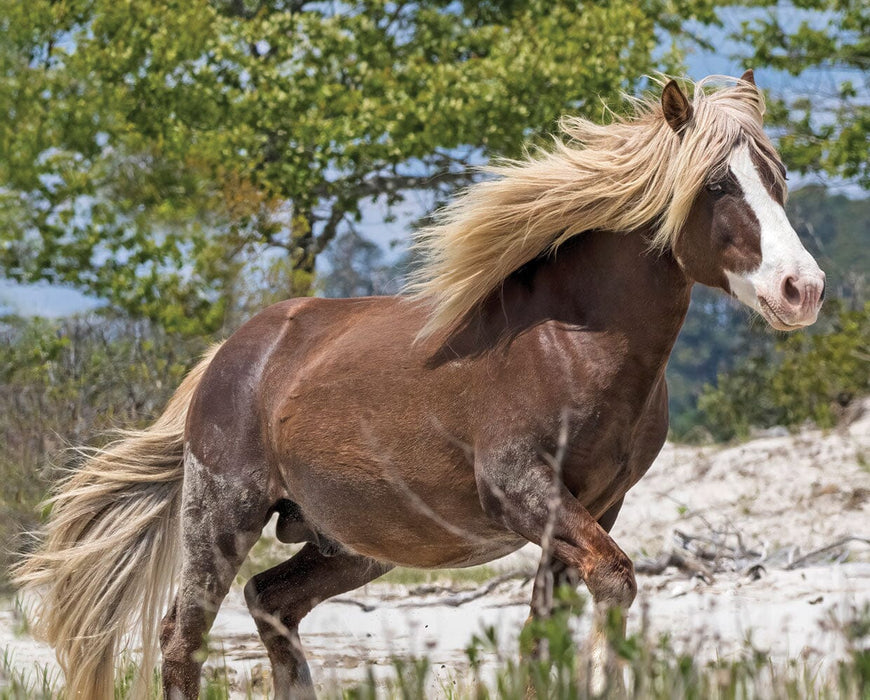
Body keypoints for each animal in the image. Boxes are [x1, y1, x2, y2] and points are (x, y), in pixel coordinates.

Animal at [15, 72, 825, 699]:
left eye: (778, 180)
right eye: (716, 184)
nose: (802, 289)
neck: (574, 343)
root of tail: (232, 354)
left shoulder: (598, 505)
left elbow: (546, 629)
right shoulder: (525, 491)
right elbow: (615, 581)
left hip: (352, 543)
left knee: (270, 604)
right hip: (222, 513)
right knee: (182, 637)